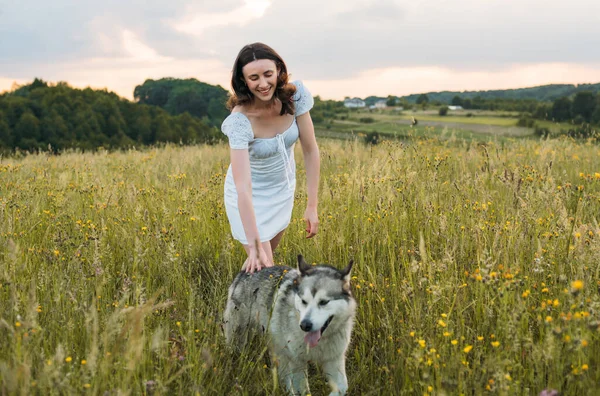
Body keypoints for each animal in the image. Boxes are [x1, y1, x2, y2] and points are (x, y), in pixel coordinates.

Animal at [224, 255, 356, 394]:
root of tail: (245, 272)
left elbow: (342, 387)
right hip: (238, 340)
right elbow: (304, 391)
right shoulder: (297, 362)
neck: (320, 342)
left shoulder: (334, 359)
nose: (305, 325)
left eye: (324, 302)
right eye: (304, 301)